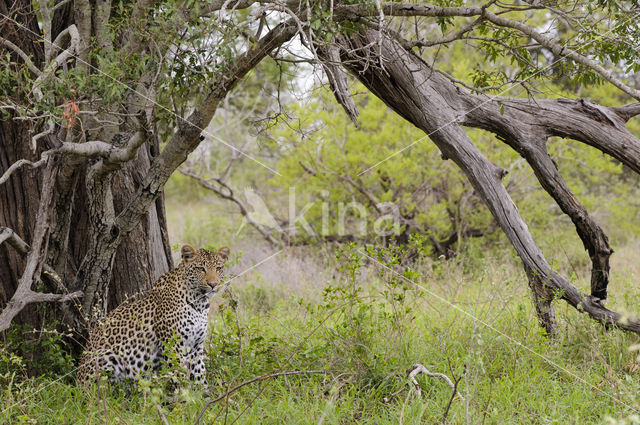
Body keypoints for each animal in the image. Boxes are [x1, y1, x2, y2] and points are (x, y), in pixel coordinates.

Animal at [76, 242, 230, 384]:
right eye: (201, 269)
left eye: (218, 268)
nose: (213, 284)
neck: (200, 303)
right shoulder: (173, 344)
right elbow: (179, 375)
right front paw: (184, 394)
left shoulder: (196, 347)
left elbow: (199, 374)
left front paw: (201, 394)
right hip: (105, 359)